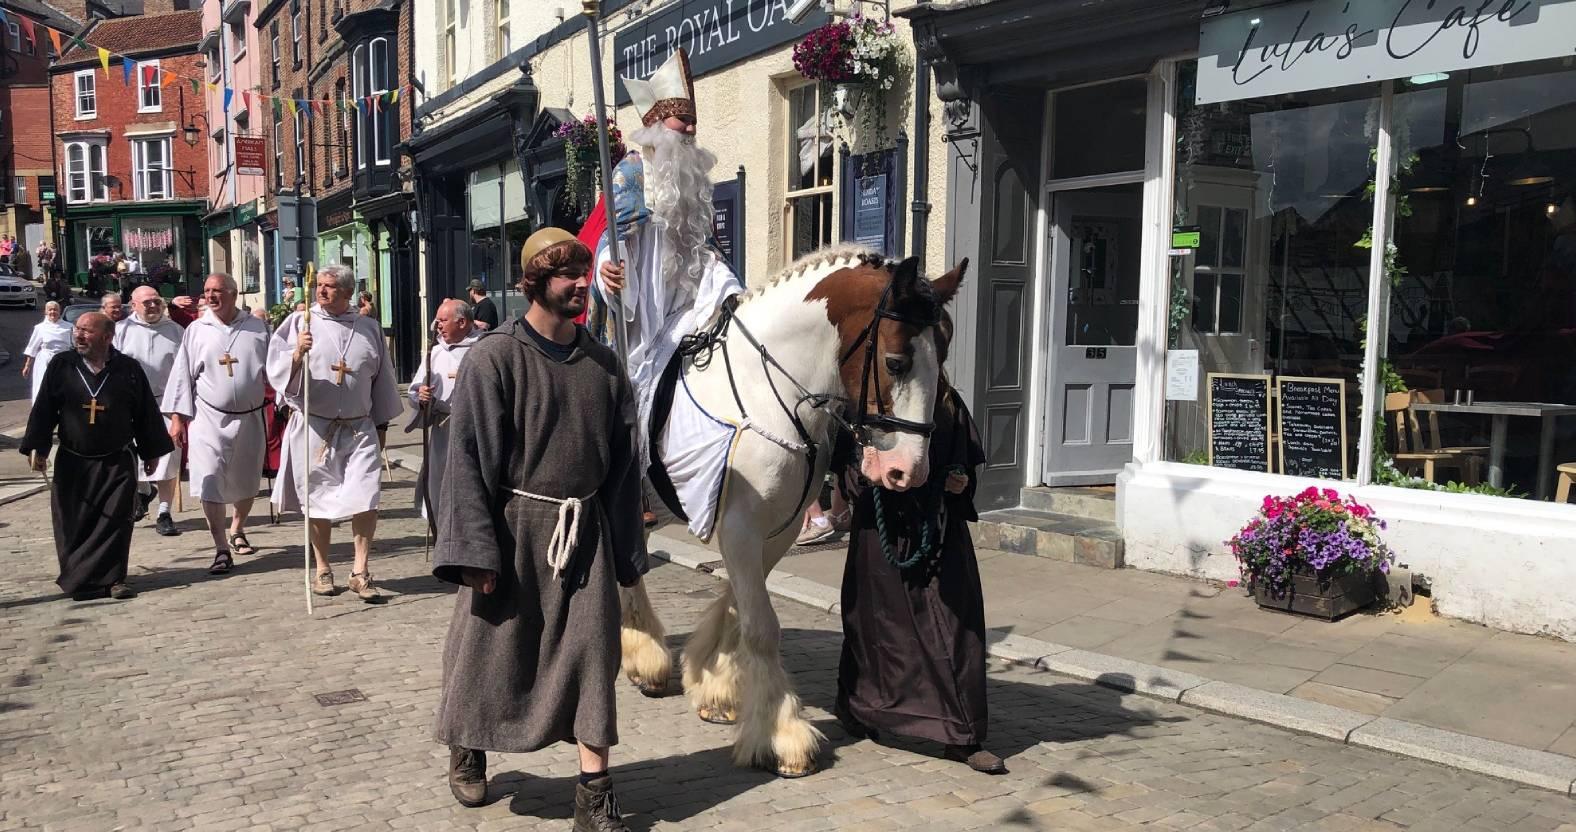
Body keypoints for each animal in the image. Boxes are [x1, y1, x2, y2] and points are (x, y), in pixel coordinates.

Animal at [617, 244, 964, 775]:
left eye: (943, 354)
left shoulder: (775, 530)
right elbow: (762, 628)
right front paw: (781, 734)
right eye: (896, 361)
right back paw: (643, 658)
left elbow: (739, 609)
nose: (908, 471)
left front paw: (717, 686)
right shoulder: (739, 528)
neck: (766, 395)